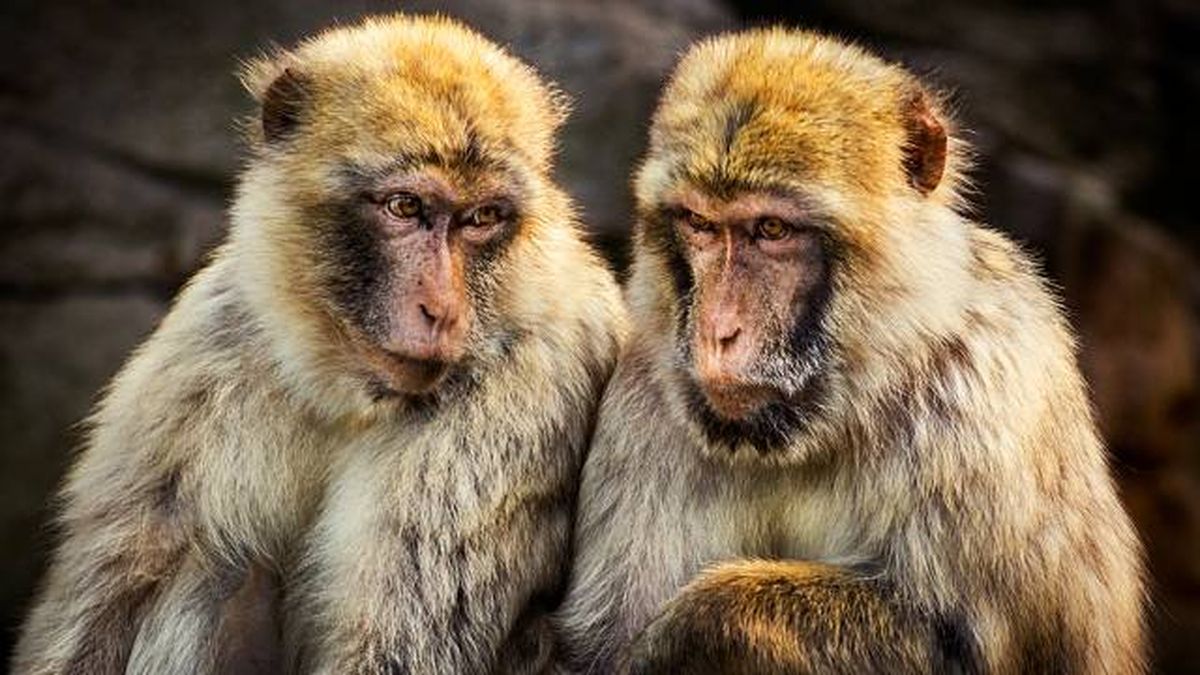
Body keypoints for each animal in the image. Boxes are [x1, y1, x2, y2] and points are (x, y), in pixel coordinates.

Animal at [14, 15, 625, 675]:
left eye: (482, 218)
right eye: (405, 207)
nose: (442, 311)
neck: (348, 394)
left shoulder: (522, 387)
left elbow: (399, 643)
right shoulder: (211, 341)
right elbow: (105, 593)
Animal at [553, 28, 1146, 675]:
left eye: (771, 230)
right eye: (699, 224)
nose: (718, 330)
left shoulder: (982, 398)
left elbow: (969, 645)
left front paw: (698, 624)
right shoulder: (644, 407)